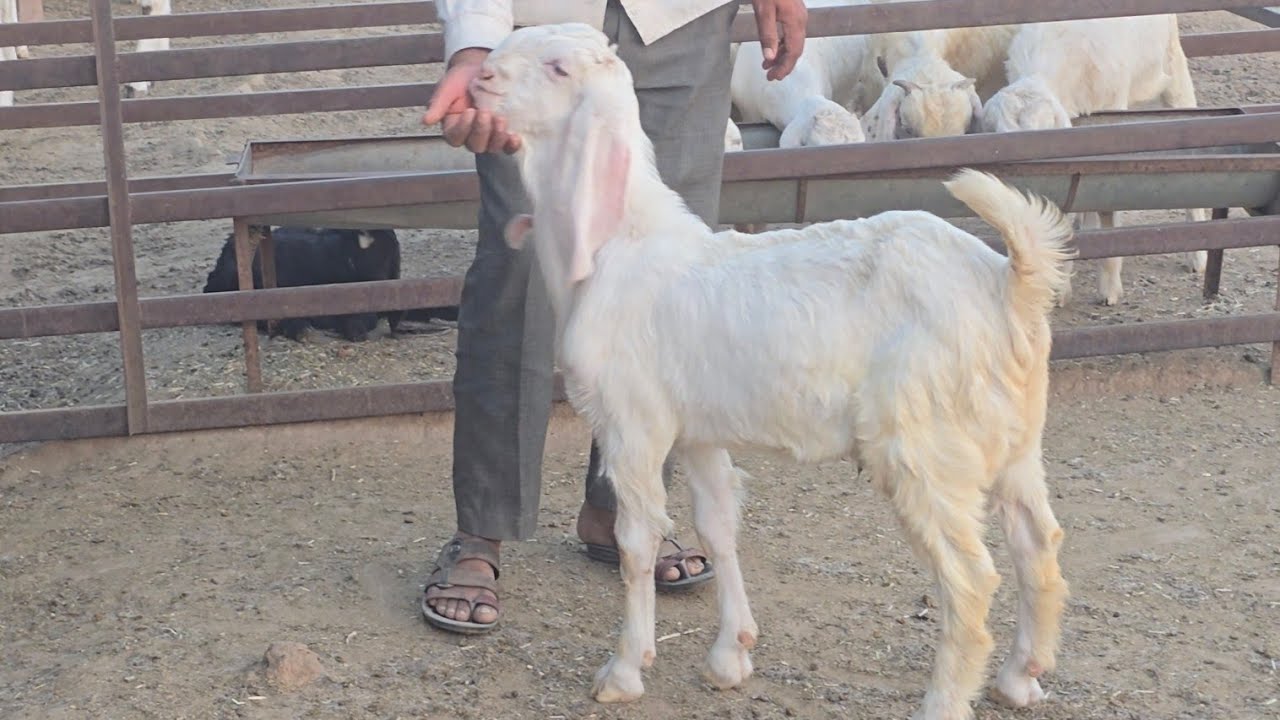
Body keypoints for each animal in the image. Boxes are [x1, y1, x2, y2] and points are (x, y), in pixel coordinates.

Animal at [474, 23, 1072, 720]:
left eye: (558, 68)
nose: (479, 77)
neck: (618, 246)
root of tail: (1010, 284)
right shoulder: (697, 431)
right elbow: (718, 524)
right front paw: (731, 654)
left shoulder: (633, 425)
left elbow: (636, 541)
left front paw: (624, 669)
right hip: (1014, 438)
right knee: (1039, 546)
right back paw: (1020, 675)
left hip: (926, 444)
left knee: (972, 577)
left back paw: (946, 699)